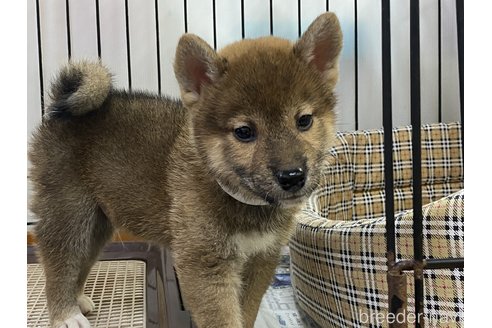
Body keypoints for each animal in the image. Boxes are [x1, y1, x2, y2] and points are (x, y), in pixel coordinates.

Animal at [27, 12, 342, 326]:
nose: (292, 176)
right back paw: (66, 314)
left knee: (81, 261)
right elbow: (223, 318)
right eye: (244, 132)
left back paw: (78, 300)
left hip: (97, 222)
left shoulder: (262, 258)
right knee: (58, 264)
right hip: (69, 214)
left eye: (303, 121)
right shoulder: (204, 264)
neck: (239, 199)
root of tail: (58, 112)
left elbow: (247, 312)